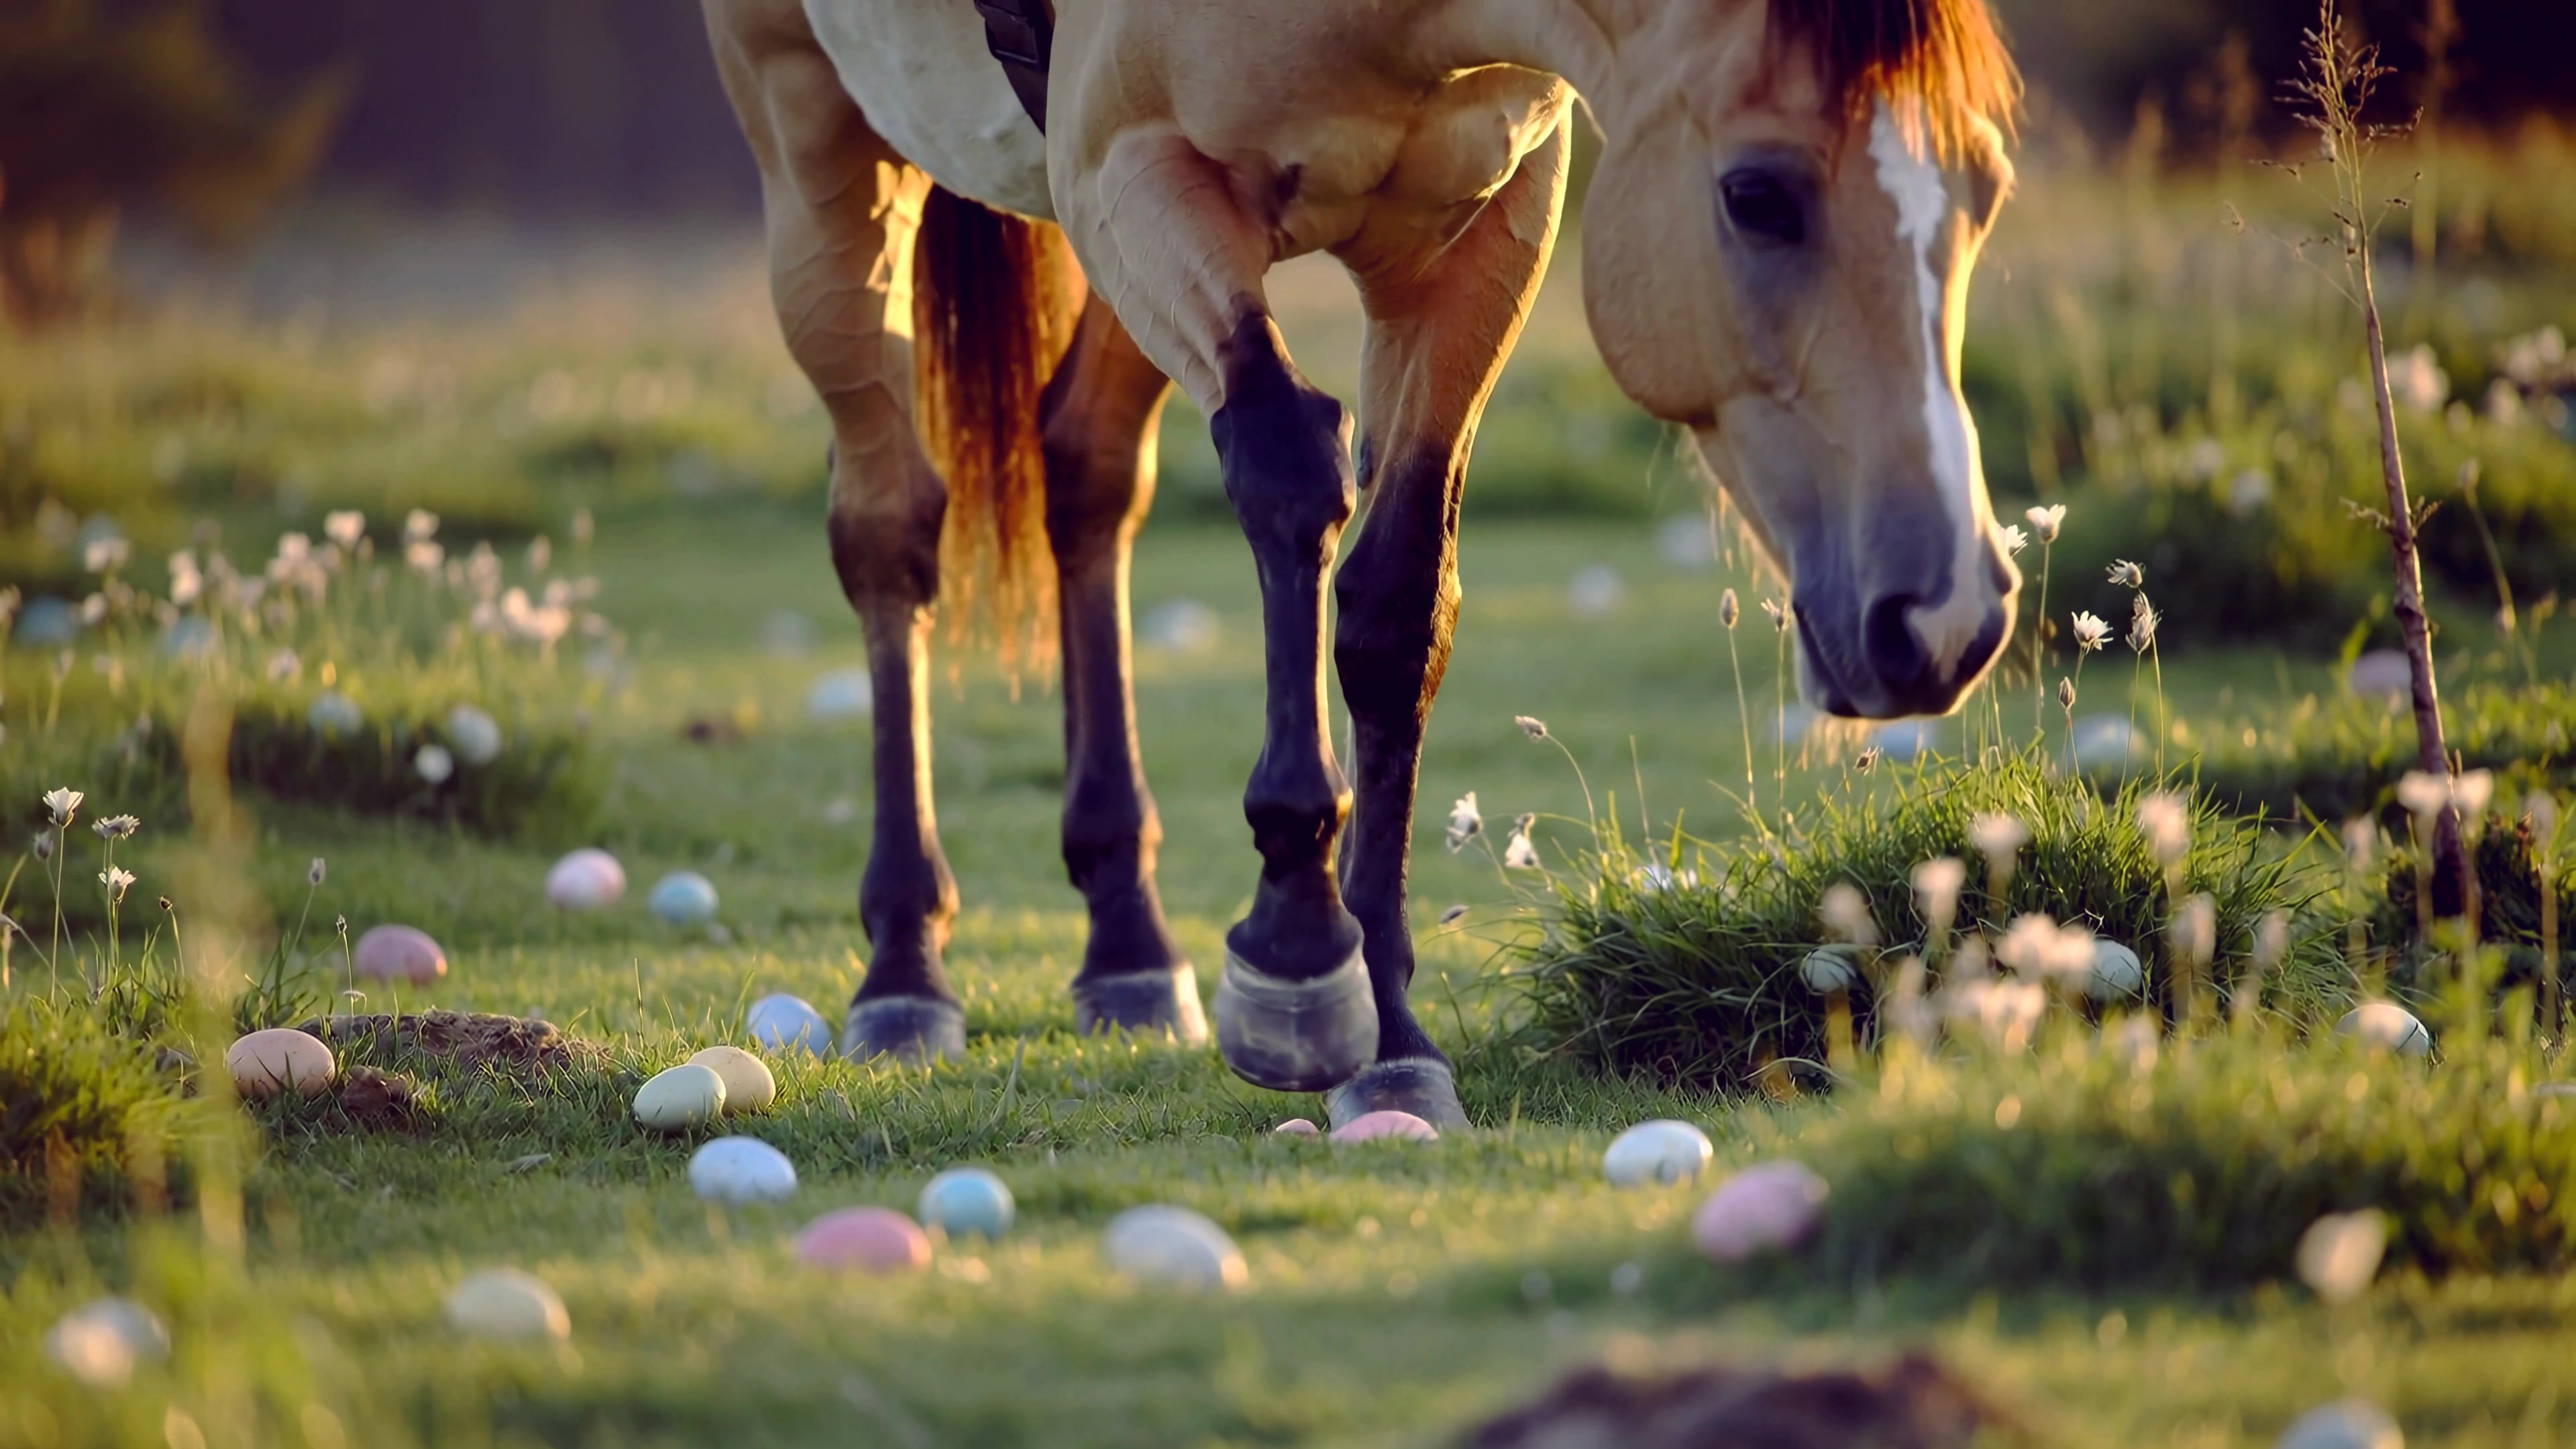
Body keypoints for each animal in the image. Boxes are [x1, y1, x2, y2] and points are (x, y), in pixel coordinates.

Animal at [702, 0, 2023, 1129]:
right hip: (812, 140)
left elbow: (1396, 604)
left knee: (1087, 476)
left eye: (1989, 194)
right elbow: (1290, 464)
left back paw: (1128, 947)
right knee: (890, 531)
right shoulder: (1138, 172)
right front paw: (1294, 947)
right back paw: (903, 965)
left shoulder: (1486, 232)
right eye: (1755, 195)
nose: (1944, 618)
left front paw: (1389, 1039)